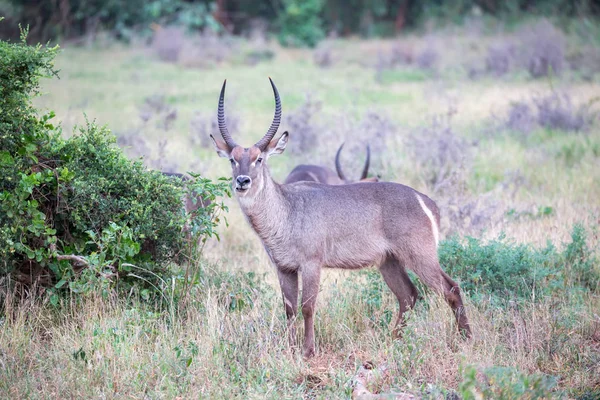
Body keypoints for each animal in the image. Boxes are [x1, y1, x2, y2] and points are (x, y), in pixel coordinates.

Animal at [209, 79, 472, 360]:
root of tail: (426, 201)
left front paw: (308, 351)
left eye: (259, 158)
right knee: (408, 296)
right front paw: (290, 350)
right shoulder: (284, 268)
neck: (286, 210)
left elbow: (307, 306)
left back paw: (466, 339)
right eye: (233, 160)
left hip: (420, 255)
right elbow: (289, 309)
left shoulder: (311, 264)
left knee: (450, 289)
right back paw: (393, 342)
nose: (242, 181)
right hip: (389, 261)